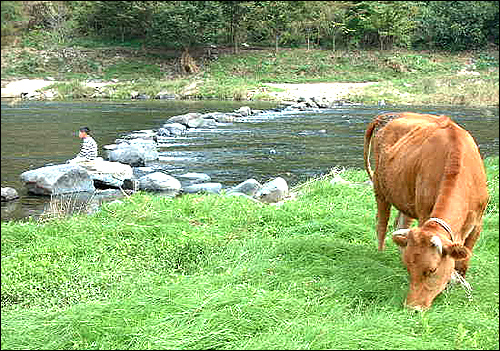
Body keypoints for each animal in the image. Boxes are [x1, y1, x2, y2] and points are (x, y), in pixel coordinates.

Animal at [364, 113, 488, 310]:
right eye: (410, 270)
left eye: (432, 270)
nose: (412, 307)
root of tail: (387, 115)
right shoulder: (424, 214)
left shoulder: (478, 223)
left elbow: (463, 262)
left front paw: (459, 283)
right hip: (380, 189)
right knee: (381, 225)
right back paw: (380, 254)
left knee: (400, 223)